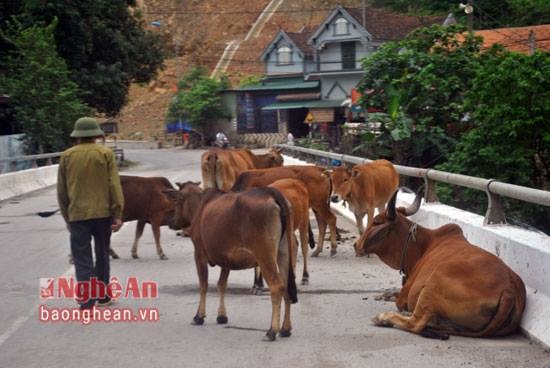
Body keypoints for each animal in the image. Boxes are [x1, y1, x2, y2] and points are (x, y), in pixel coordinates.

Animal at [164, 183, 300, 340]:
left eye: (177, 202)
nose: (171, 222)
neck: (200, 206)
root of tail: (271, 191)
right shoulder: (227, 260)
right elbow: (222, 284)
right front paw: (221, 316)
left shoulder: (199, 254)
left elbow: (203, 286)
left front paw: (199, 316)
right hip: (285, 253)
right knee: (286, 286)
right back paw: (285, 328)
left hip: (264, 255)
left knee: (277, 286)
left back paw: (272, 331)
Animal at [356, 190, 528, 340]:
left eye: (376, 222)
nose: (356, 245)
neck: (423, 245)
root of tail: (509, 290)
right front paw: (384, 293)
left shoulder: (406, 295)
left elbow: (399, 300)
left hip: (434, 284)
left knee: (416, 323)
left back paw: (385, 317)